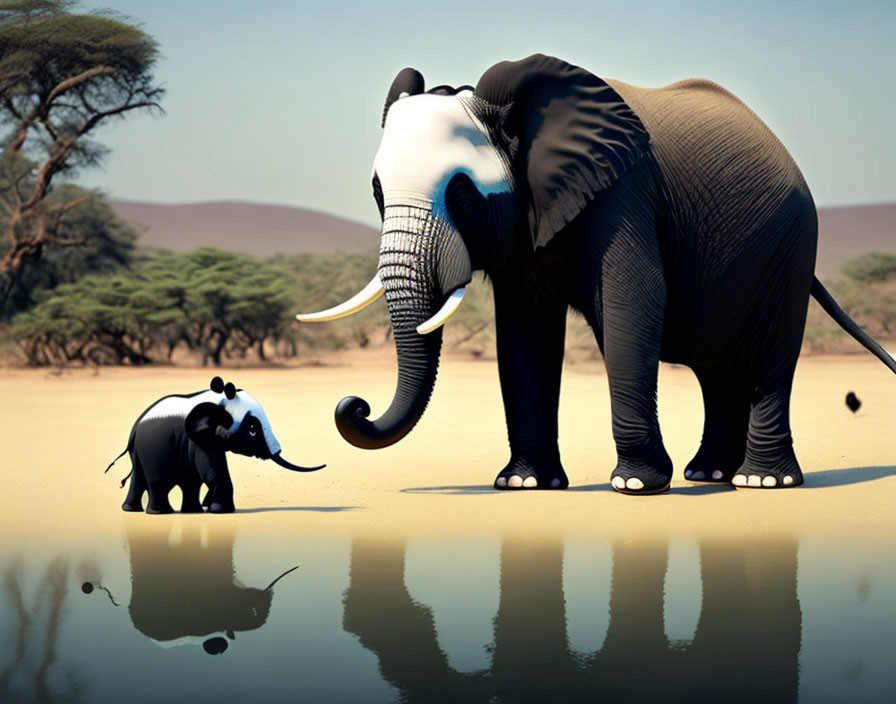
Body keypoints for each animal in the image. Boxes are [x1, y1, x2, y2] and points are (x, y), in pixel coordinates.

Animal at [109, 376, 326, 516]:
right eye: (252, 429)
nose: (324, 465)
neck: (218, 401)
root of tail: (134, 430)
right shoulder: (199, 441)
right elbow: (213, 472)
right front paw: (221, 511)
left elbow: (202, 476)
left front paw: (209, 508)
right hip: (154, 451)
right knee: (158, 482)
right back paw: (161, 512)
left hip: (142, 452)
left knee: (144, 479)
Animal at [300, 52, 896, 496]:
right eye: (377, 193)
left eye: (463, 194)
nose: (353, 405)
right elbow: (525, 332)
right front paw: (523, 485)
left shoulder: (623, 189)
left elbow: (634, 299)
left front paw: (635, 486)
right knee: (716, 368)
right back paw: (709, 475)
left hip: (793, 246)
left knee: (771, 355)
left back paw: (761, 482)